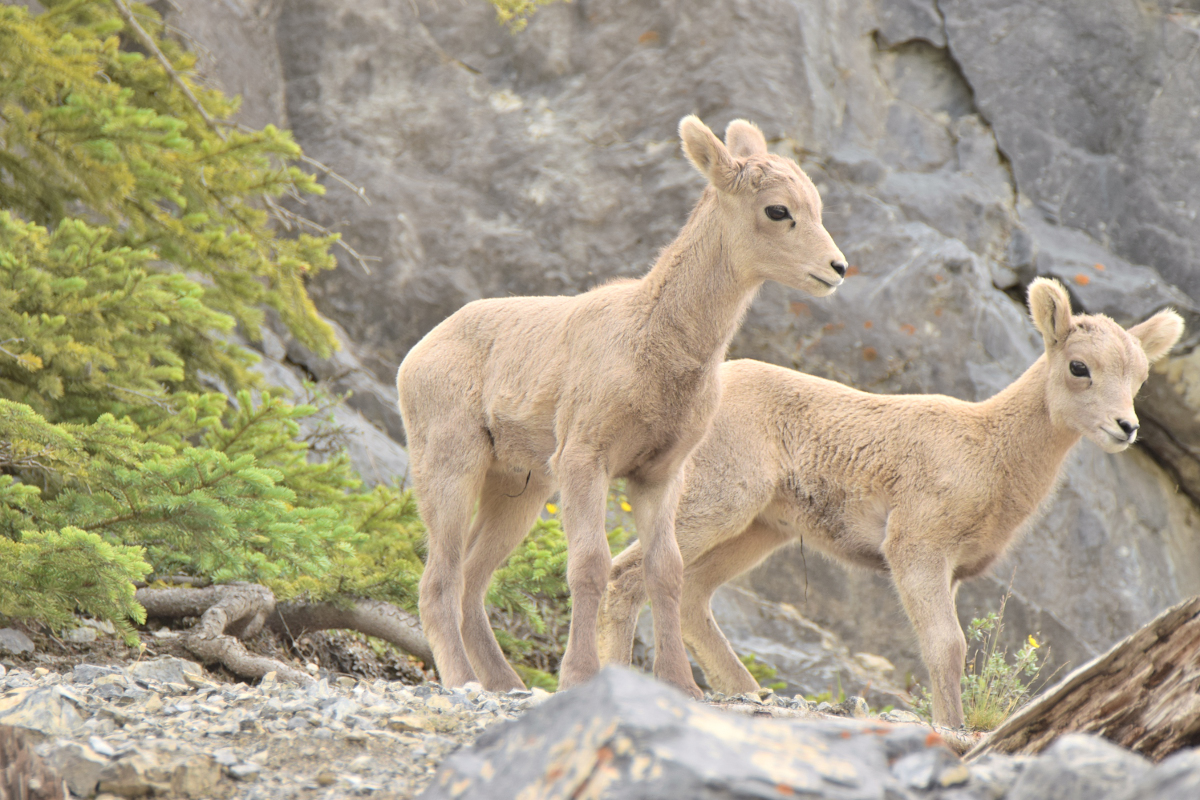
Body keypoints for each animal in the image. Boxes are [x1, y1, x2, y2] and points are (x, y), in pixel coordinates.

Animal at [398, 115, 849, 695]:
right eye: (778, 210)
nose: (836, 268)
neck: (654, 344)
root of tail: (417, 355)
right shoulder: (584, 460)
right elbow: (590, 565)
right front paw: (578, 676)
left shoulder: (658, 475)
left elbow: (665, 572)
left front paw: (681, 684)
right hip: (450, 466)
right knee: (439, 580)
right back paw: (462, 681)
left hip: (519, 488)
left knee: (473, 581)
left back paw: (506, 682)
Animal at [600, 278, 1180, 729]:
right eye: (1079, 367)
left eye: (1139, 377)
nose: (1126, 427)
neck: (990, 451)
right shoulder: (915, 550)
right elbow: (947, 646)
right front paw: (953, 726)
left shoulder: (950, 570)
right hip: (713, 503)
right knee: (627, 574)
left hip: (760, 531)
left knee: (693, 593)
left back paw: (750, 691)